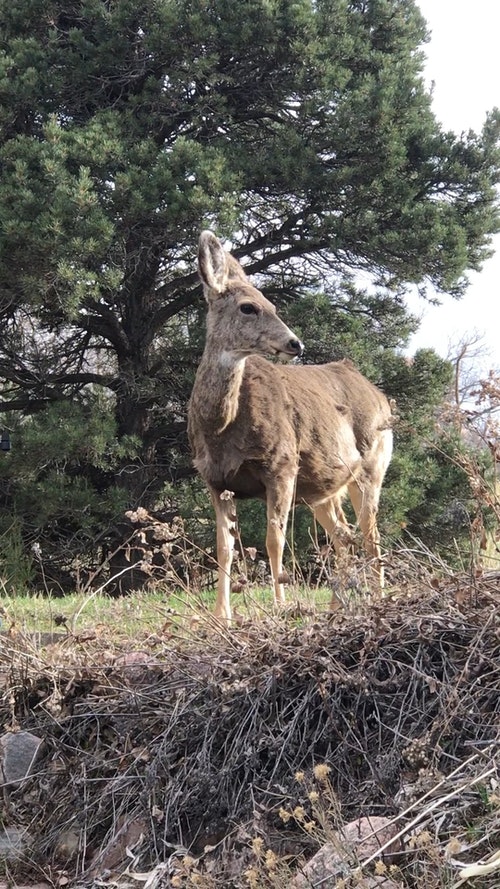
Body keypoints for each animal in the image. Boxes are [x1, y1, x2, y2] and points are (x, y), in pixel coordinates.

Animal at [188, 232, 394, 620]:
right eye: (248, 307)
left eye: (272, 303)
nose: (295, 343)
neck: (221, 429)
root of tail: (381, 396)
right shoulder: (214, 480)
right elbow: (224, 547)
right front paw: (222, 614)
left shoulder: (281, 466)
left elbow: (274, 540)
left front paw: (279, 606)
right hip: (322, 487)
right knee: (343, 533)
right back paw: (336, 605)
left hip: (371, 467)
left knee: (370, 535)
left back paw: (378, 598)